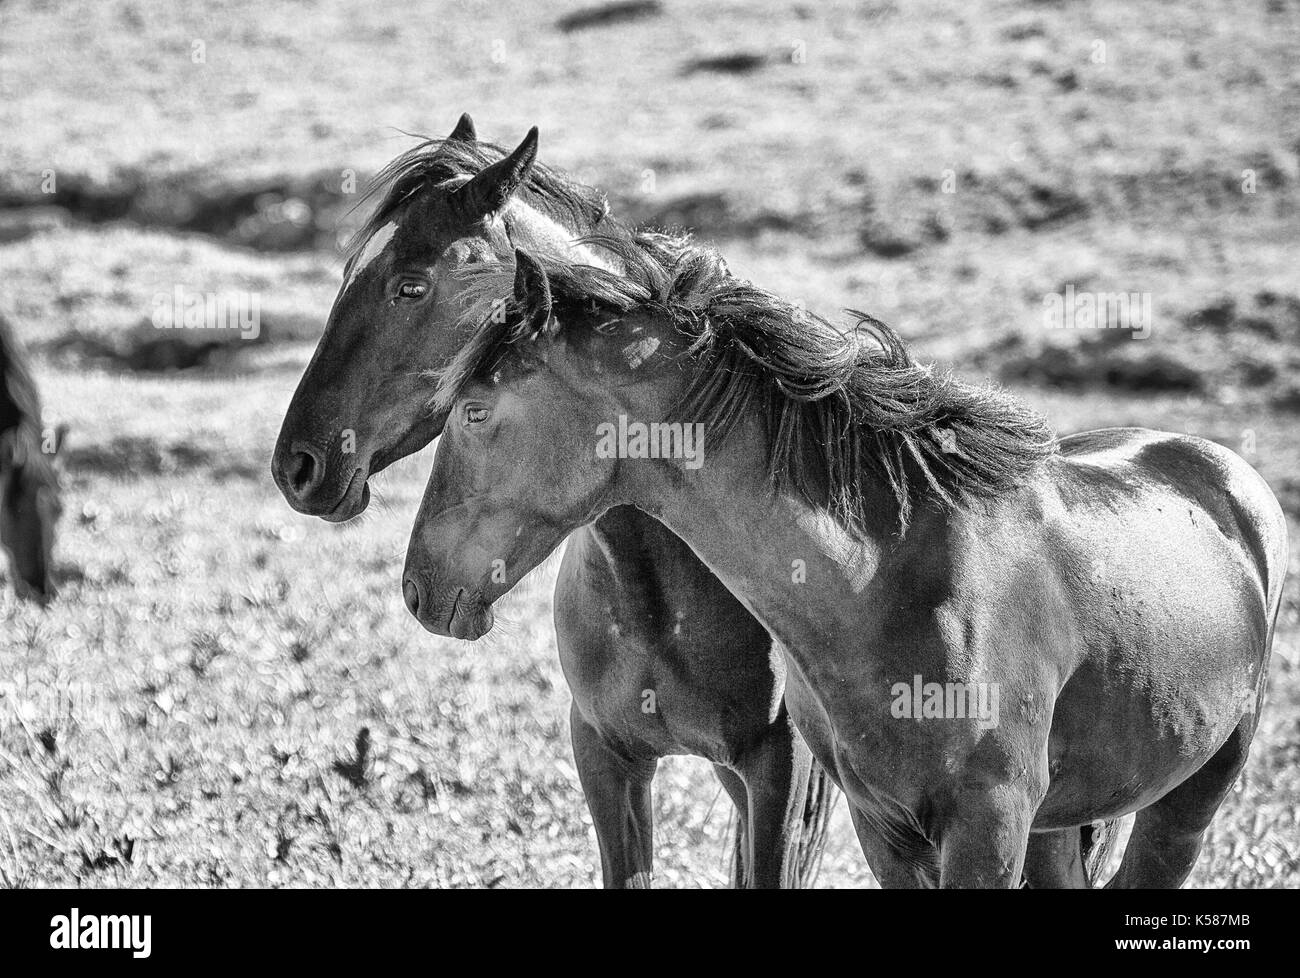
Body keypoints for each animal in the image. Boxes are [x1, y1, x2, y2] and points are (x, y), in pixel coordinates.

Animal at [410, 240, 1284, 889]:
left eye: (475, 411)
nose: (418, 587)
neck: (889, 582)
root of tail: (1222, 472)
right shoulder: (884, 823)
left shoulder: (985, 824)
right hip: (1059, 826)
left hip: (1192, 796)